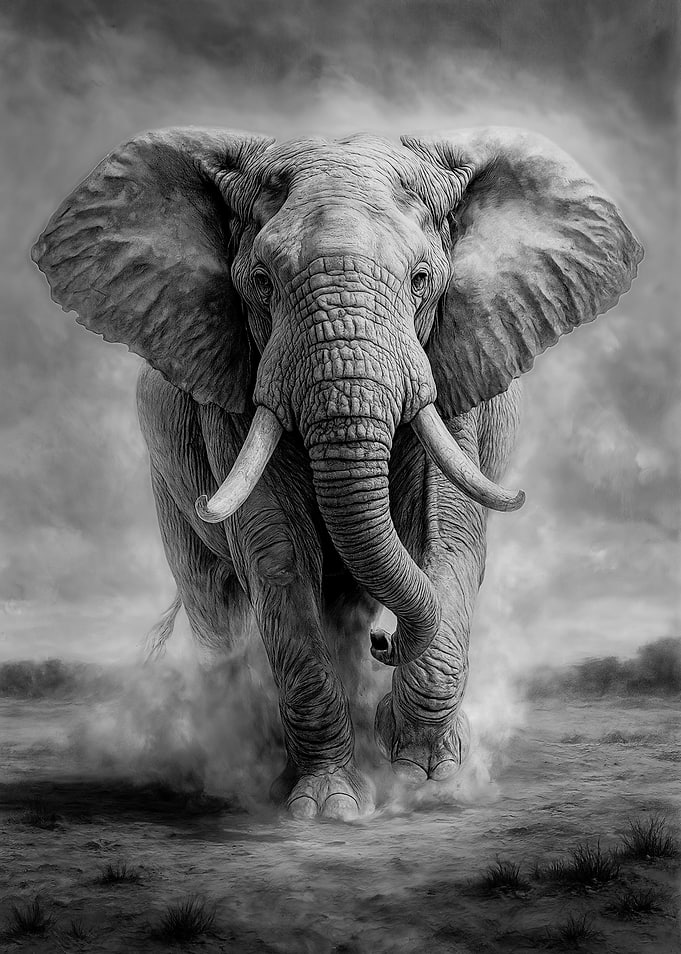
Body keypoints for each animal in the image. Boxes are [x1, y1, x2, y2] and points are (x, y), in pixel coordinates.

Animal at [32, 126, 642, 820]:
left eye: (422, 279)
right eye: (261, 281)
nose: (387, 645)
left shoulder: (457, 367)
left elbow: (449, 533)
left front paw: (426, 777)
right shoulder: (234, 380)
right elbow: (277, 552)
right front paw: (326, 807)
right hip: (167, 477)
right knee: (214, 600)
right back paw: (241, 753)